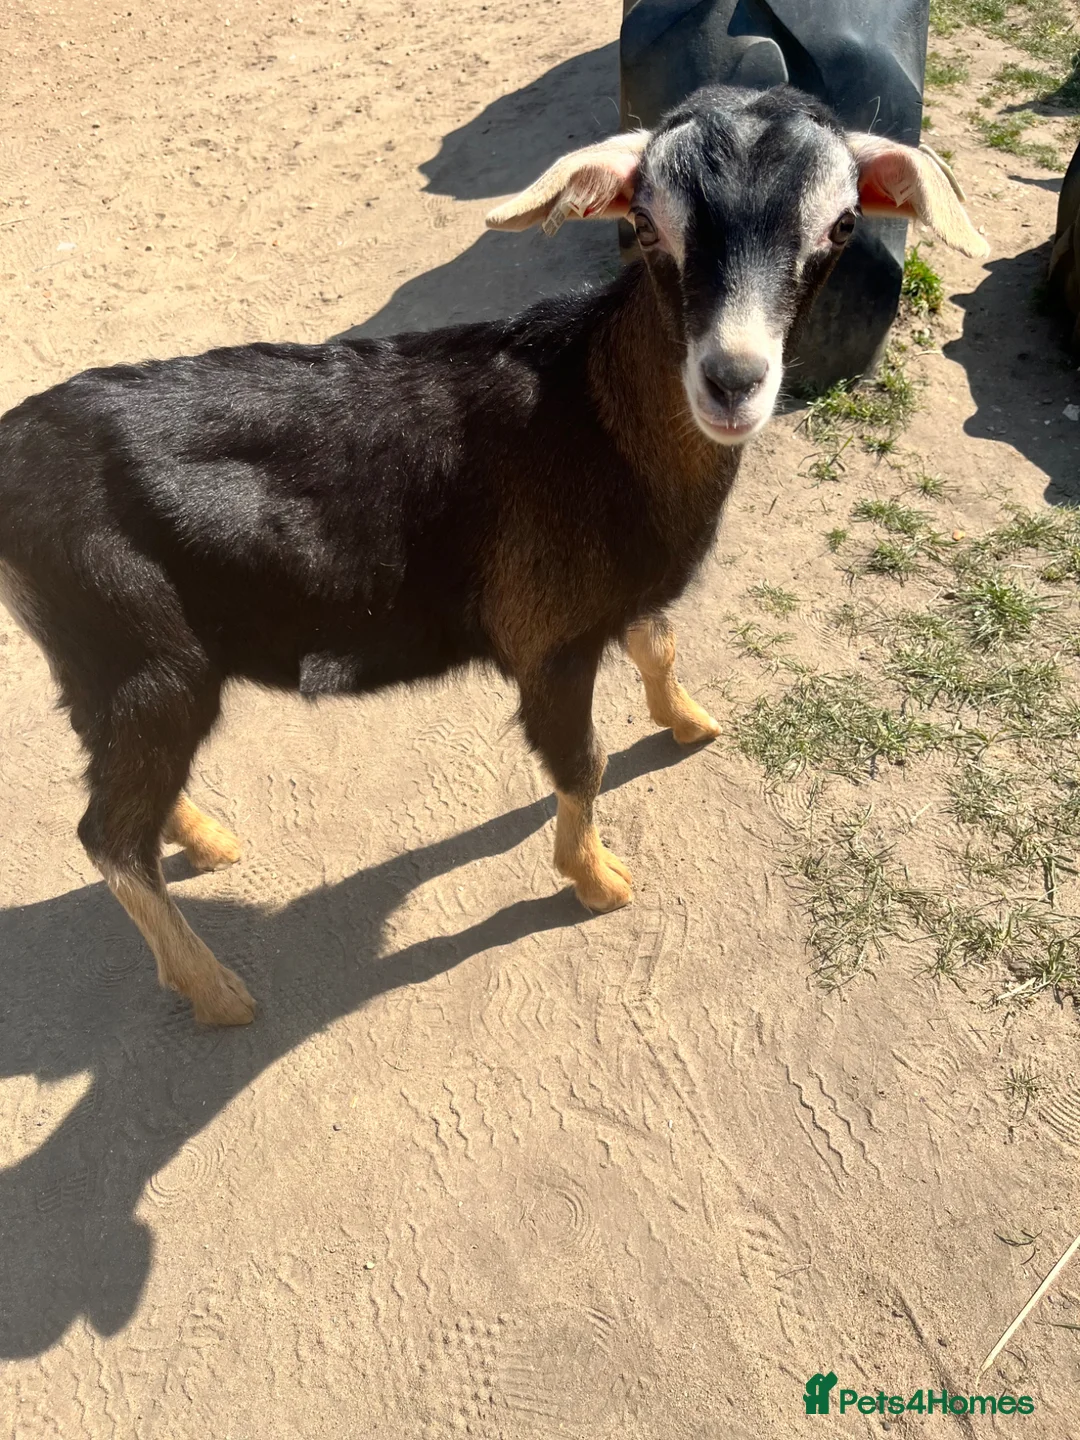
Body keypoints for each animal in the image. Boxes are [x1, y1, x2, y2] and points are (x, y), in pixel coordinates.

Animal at [0, 85, 986, 1026]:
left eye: (842, 226)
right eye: (644, 227)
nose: (732, 381)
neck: (593, 413)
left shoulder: (616, 596)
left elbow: (658, 643)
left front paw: (690, 722)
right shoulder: (547, 634)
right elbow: (581, 761)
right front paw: (597, 880)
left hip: (100, 664)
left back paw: (205, 841)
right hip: (145, 657)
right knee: (107, 836)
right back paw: (217, 993)